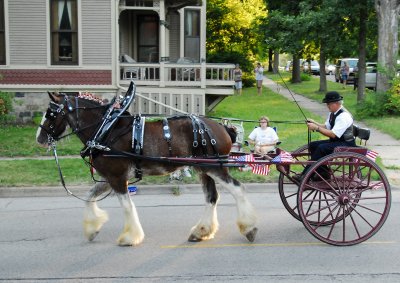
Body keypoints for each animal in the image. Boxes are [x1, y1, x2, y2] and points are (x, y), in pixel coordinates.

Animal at [36, 85, 258, 247]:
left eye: (50, 113)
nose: (39, 138)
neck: (106, 129)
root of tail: (222, 128)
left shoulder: (117, 177)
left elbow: (127, 206)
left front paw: (129, 237)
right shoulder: (111, 176)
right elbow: (90, 196)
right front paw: (92, 229)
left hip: (214, 167)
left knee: (238, 189)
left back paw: (249, 228)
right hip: (203, 169)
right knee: (212, 197)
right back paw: (201, 232)